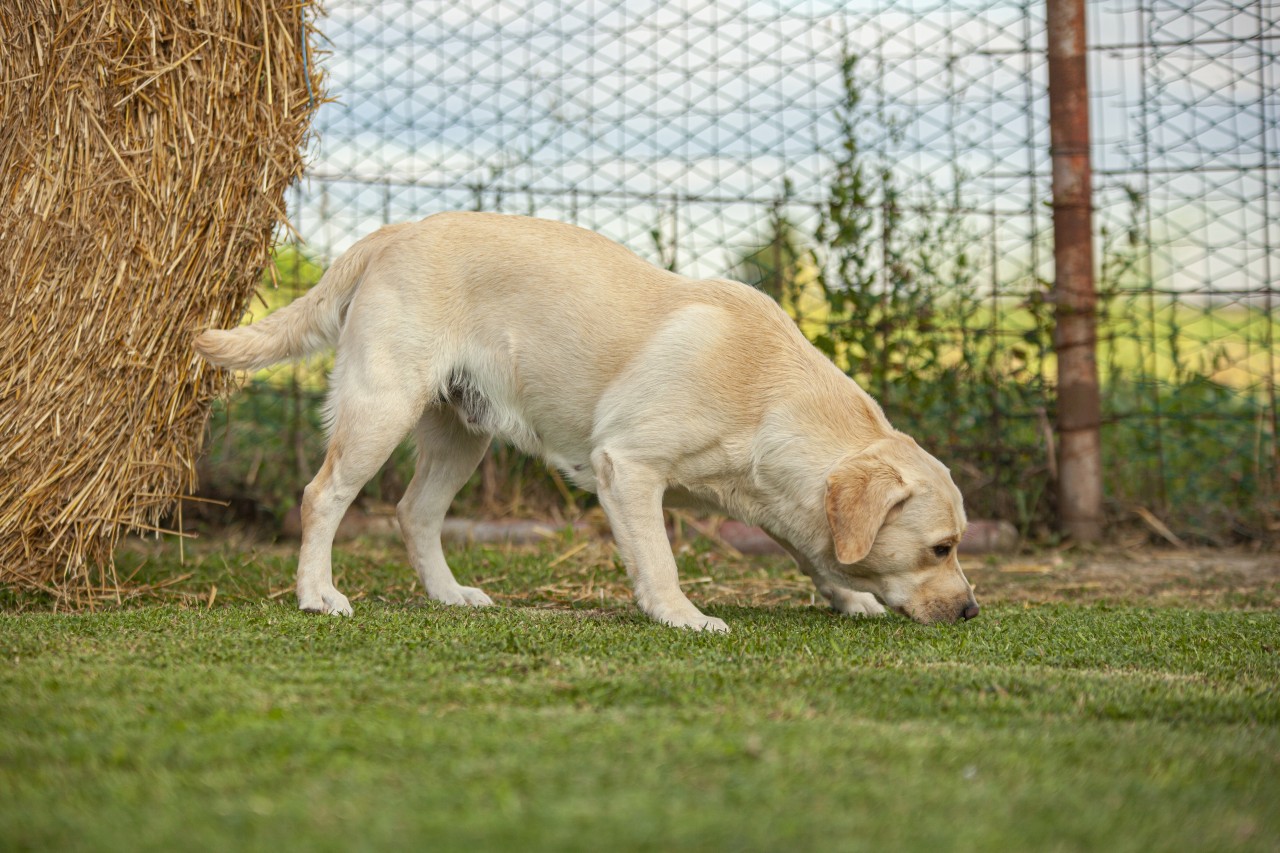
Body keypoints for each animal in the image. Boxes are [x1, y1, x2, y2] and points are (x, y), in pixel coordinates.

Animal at [194, 211, 972, 630]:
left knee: (414, 513)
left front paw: (847, 594)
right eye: (941, 548)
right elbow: (658, 557)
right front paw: (682, 615)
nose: (970, 611)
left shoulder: (772, 498)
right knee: (322, 496)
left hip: (462, 432)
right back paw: (316, 594)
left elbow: (811, 547)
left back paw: (449, 594)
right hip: (381, 408)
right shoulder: (627, 467)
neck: (768, 392)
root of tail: (399, 230)